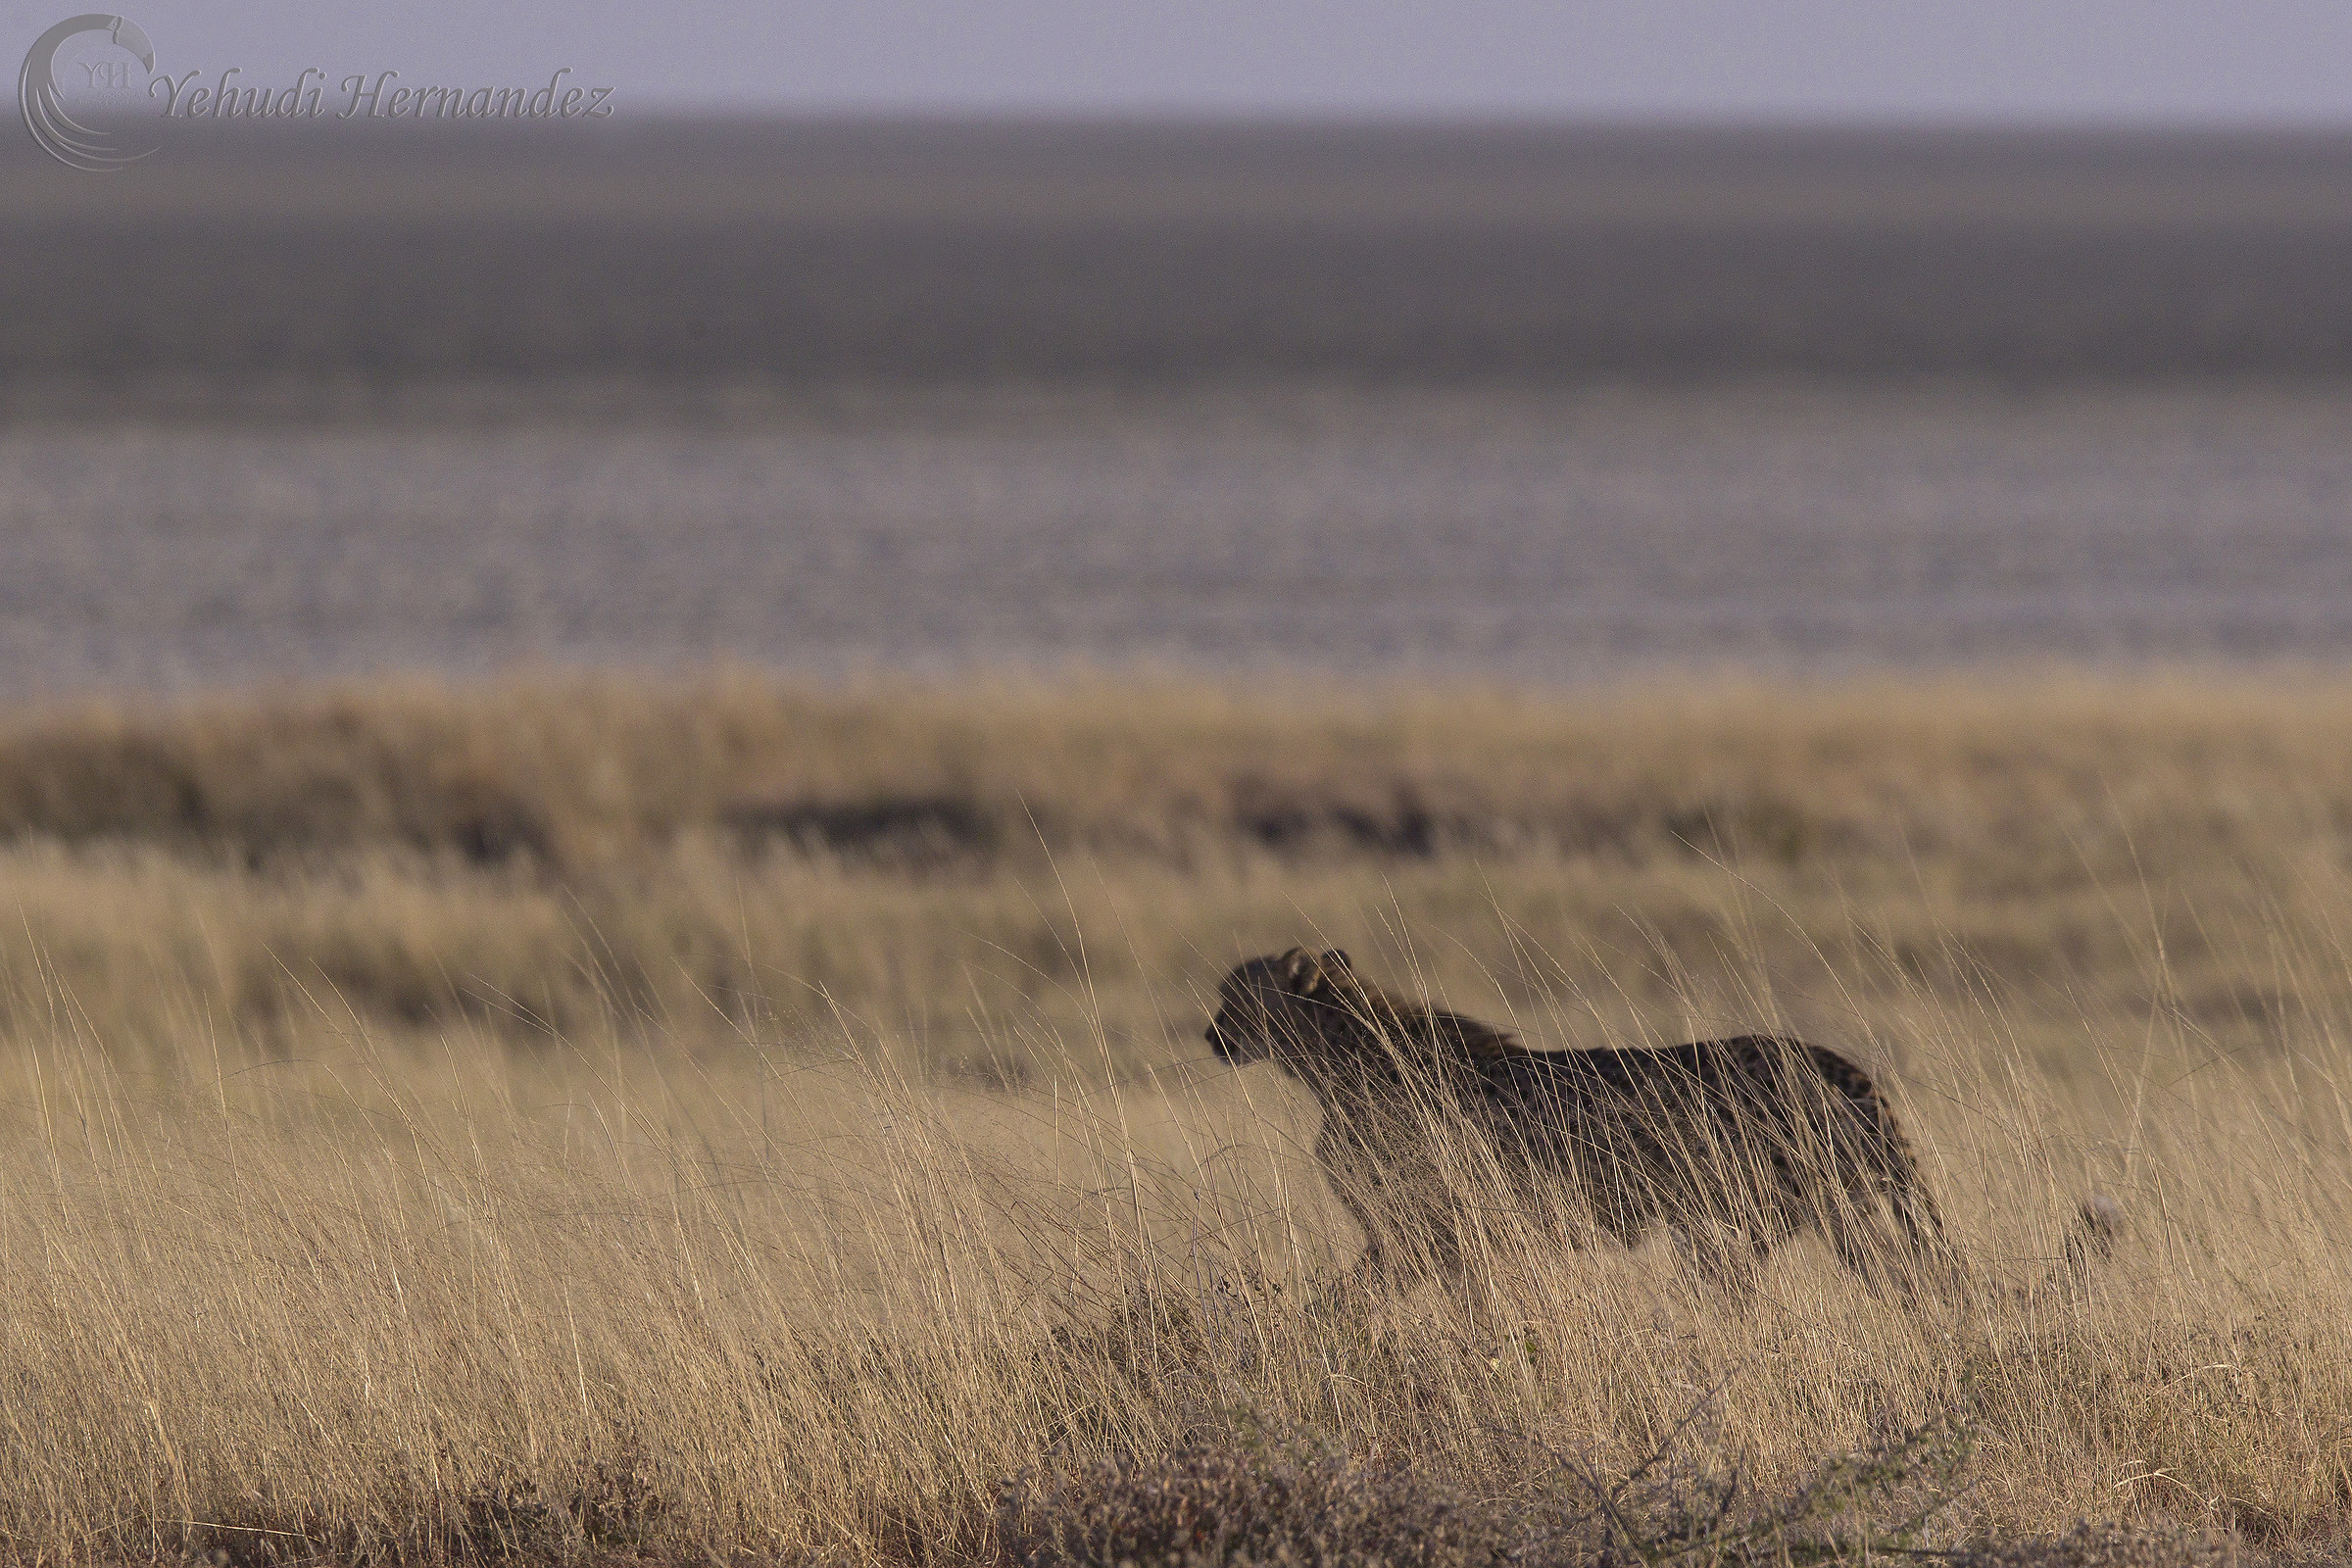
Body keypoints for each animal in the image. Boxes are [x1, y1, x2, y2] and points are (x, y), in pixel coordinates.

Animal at [1206, 946, 2120, 1299]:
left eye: (1230, 995)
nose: (1208, 1035)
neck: (1330, 1056)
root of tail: (1828, 1056)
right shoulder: (1424, 1237)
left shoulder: (1434, 1234)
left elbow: (1354, 1303)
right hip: (1817, 1216)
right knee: (1900, 1283)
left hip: (1796, 1207)